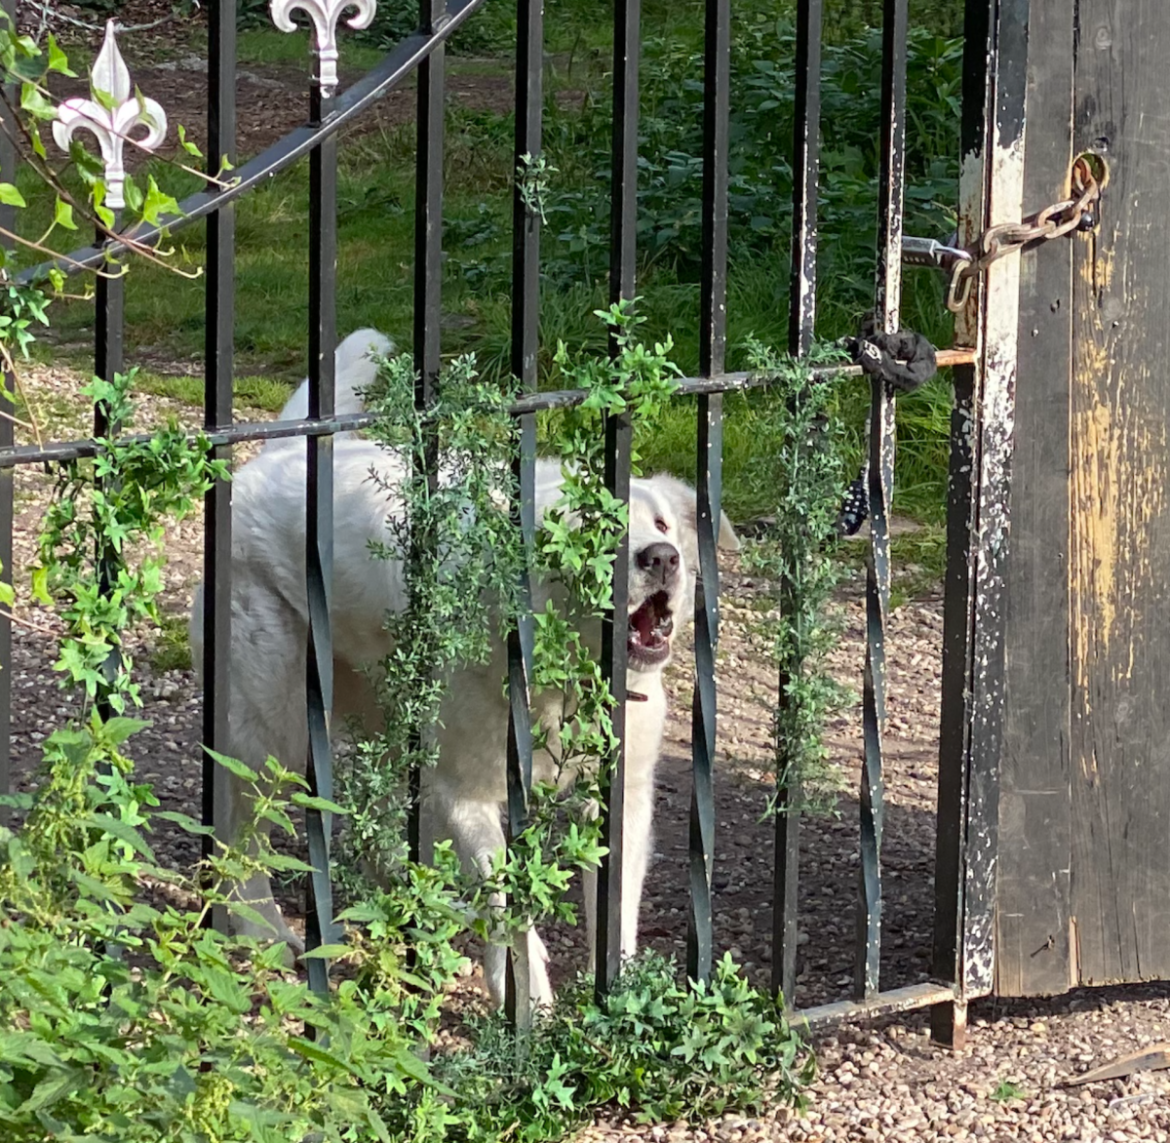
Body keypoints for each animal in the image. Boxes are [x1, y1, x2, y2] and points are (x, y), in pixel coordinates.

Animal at [191, 325, 739, 1001]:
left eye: (661, 523)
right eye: (585, 527)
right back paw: (262, 930)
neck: (561, 681)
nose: (661, 557)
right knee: (240, 834)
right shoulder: (468, 795)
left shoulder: (621, 797)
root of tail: (274, 459)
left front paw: (619, 993)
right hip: (275, 726)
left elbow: (613, 914)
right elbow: (510, 909)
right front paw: (530, 1001)